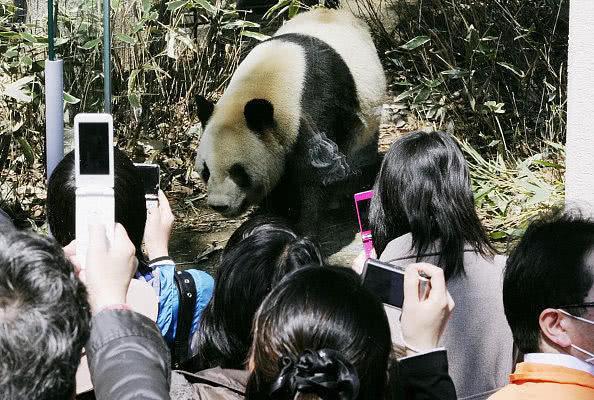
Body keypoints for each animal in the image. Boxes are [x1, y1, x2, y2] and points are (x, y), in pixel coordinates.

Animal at [195, 7, 384, 233]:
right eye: (206, 171)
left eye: (238, 171)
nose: (219, 205)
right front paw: (273, 215)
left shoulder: (314, 106)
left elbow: (315, 169)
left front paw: (305, 224)